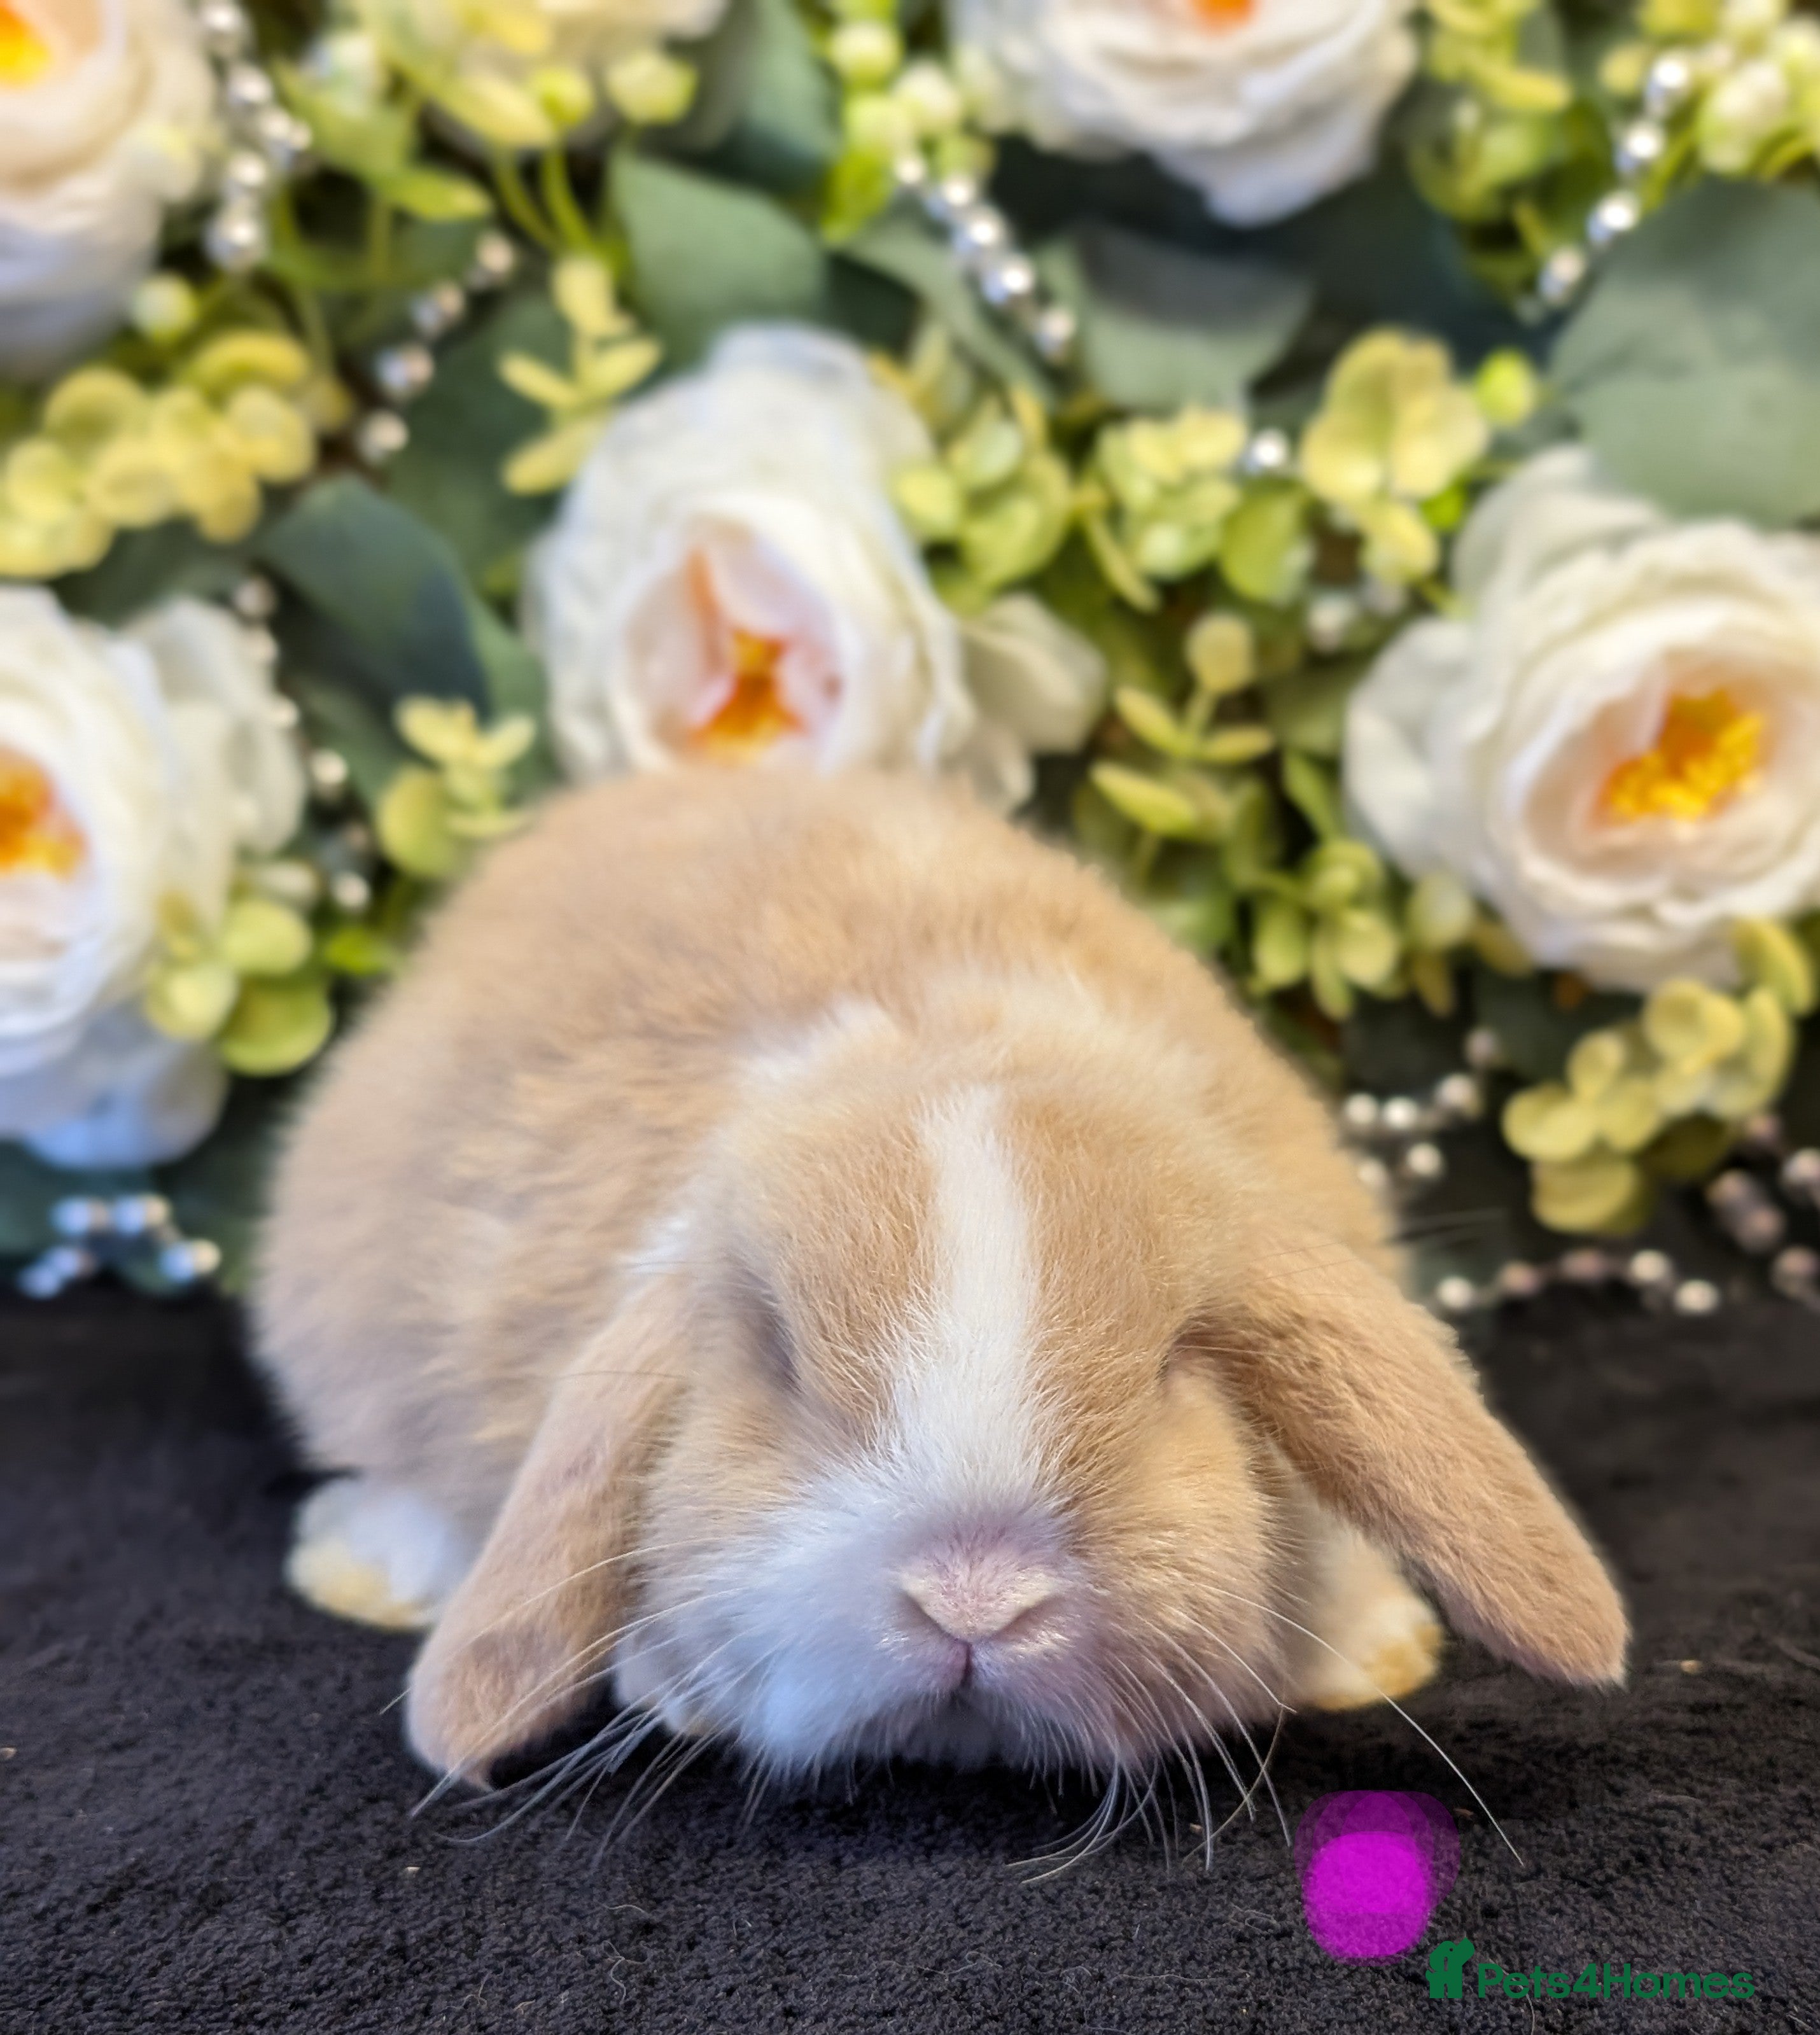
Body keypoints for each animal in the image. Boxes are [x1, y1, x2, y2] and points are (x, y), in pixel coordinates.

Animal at [254, 768, 1628, 1787]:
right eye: (778, 1359)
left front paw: (1377, 1653)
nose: (974, 1600)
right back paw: (364, 1571)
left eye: (1172, 1362)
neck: (947, 1044)